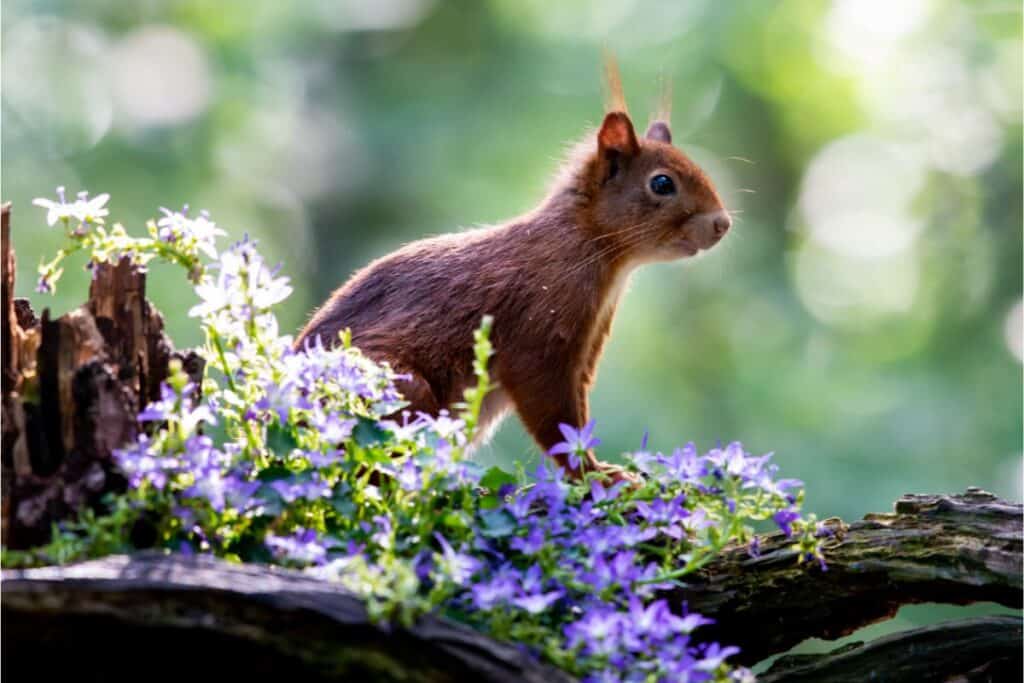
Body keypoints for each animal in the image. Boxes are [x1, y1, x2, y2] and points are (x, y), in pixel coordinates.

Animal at [292, 66, 733, 479]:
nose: (722, 224)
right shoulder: (539, 329)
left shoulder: (587, 347)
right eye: (662, 184)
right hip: (398, 388)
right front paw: (598, 476)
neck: (589, 246)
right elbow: (555, 417)